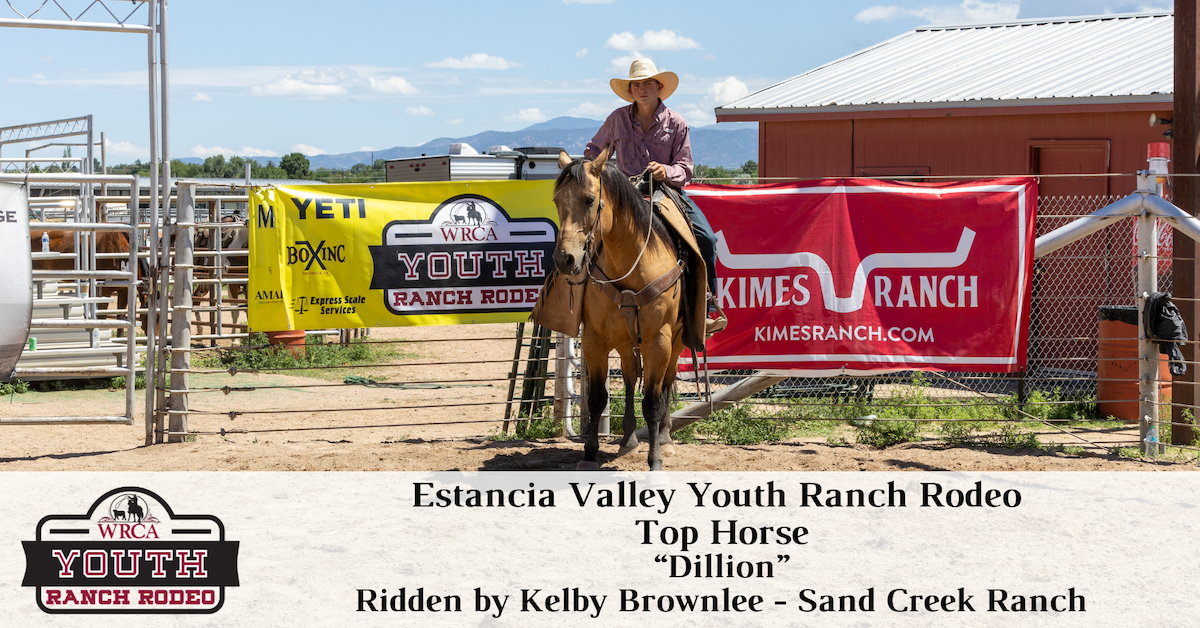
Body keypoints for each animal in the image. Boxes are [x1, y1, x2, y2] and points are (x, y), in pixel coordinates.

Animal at [550, 147, 689, 471]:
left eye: (590, 199)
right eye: (557, 200)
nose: (565, 259)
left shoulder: (659, 340)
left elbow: (652, 401)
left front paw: (655, 460)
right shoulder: (595, 339)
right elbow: (597, 398)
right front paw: (589, 454)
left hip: (676, 340)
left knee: (666, 381)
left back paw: (664, 437)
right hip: (625, 340)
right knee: (628, 375)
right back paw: (628, 439)